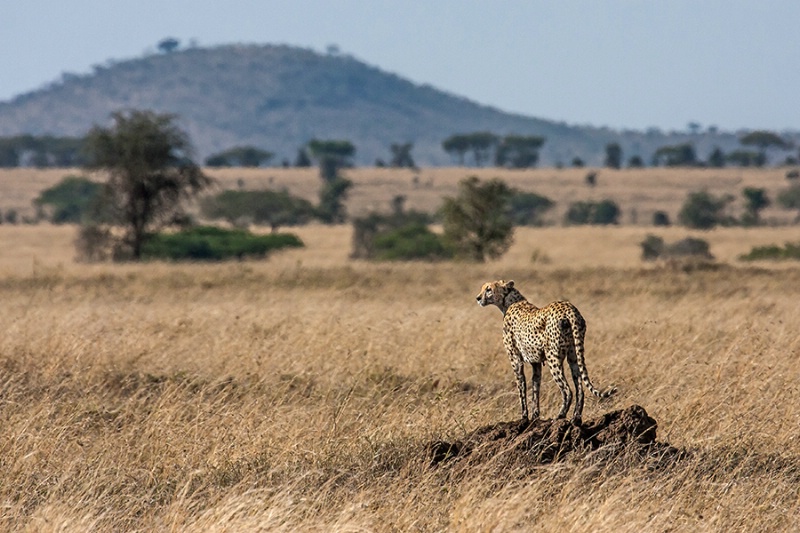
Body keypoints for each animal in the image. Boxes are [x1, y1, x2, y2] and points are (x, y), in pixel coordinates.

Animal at [478, 278, 616, 424]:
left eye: (488, 289)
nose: (478, 298)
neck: (510, 302)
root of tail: (569, 308)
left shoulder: (515, 360)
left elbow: (521, 387)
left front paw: (524, 417)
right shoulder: (536, 363)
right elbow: (535, 388)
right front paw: (535, 416)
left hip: (553, 358)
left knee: (567, 390)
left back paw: (560, 415)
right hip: (573, 356)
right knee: (579, 388)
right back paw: (576, 418)